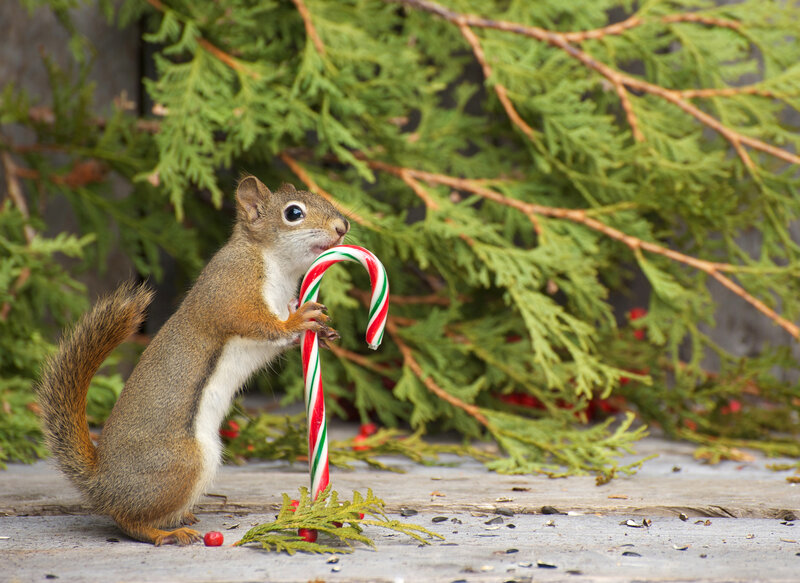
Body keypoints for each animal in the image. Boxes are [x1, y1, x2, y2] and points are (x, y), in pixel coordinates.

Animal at [36, 176, 349, 545]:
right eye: (294, 213)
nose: (342, 227)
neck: (273, 263)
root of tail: (102, 484)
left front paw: (324, 332)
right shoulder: (230, 289)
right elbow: (255, 321)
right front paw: (299, 320)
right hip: (182, 461)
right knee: (126, 520)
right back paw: (164, 533)